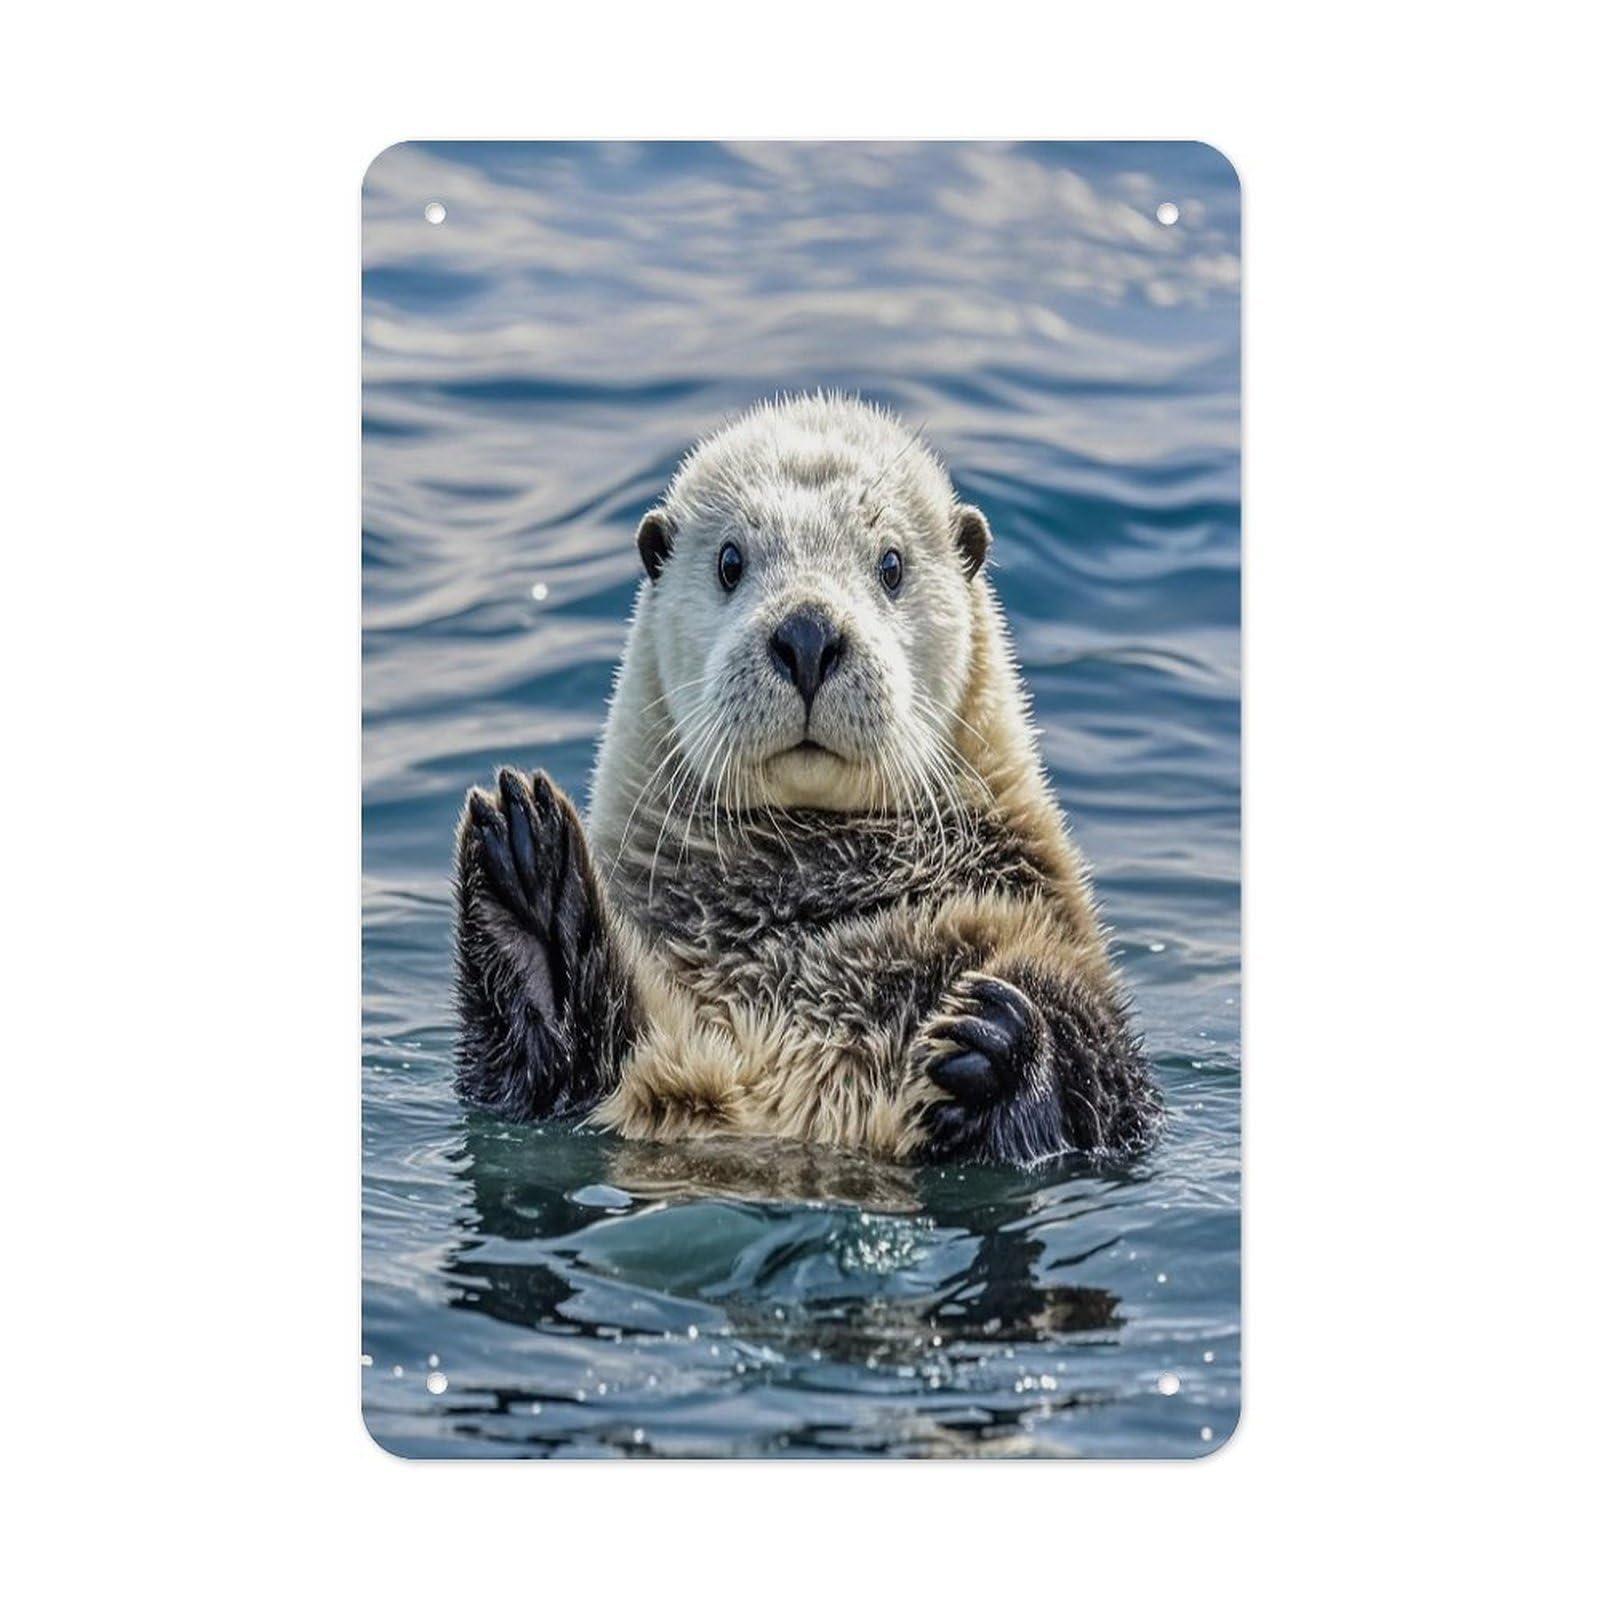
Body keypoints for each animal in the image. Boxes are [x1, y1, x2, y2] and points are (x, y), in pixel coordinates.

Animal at [453, 394, 1158, 1165]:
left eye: (891, 564)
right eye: (730, 561)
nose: (809, 632)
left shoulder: (1049, 925)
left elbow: (1108, 1075)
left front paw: (999, 1041)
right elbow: (537, 1081)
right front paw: (527, 879)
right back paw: (532, 884)